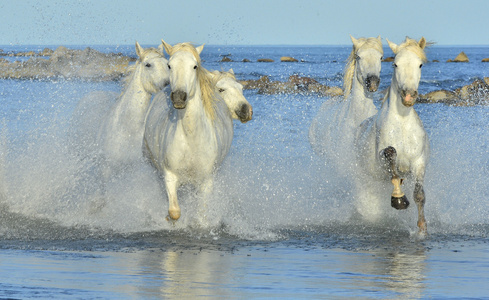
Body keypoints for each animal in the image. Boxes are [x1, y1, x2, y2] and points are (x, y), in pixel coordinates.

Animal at [144, 41, 234, 221]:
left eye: (194, 66)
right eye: (169, 65)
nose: (179, 97)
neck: (191, 137)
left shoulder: (206, 181)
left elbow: (201, 213)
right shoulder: (170, 176)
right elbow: (174, 212)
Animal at [354, 37, 428, 234]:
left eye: (420, 65)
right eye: (395, 64)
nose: (409, 95)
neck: (402, 123)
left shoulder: (419, 162)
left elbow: (419, 194)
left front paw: (422, 228)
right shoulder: (383, 159)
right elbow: (390, 155)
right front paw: (399, 199)